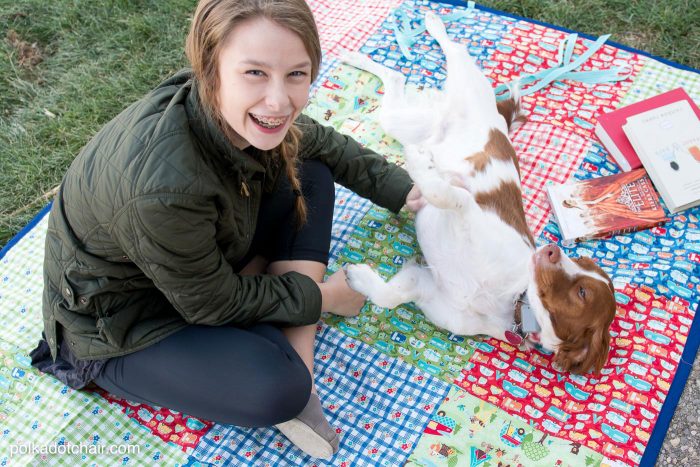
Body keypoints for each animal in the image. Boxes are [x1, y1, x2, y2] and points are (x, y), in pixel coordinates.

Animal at [342, 12, 616, 374]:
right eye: (581, 258)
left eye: (583, 292)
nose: (552, 249)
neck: (510, 298)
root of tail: (500, 119)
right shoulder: (468, 209)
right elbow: (444, 192)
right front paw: (422, 162)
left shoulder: (426, 288)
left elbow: (390, 296)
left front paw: (359, 278)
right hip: (460, 86)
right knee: (452, 48)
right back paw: (429, 22)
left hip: (402, 120)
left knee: (397, 77)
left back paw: (357, 57)